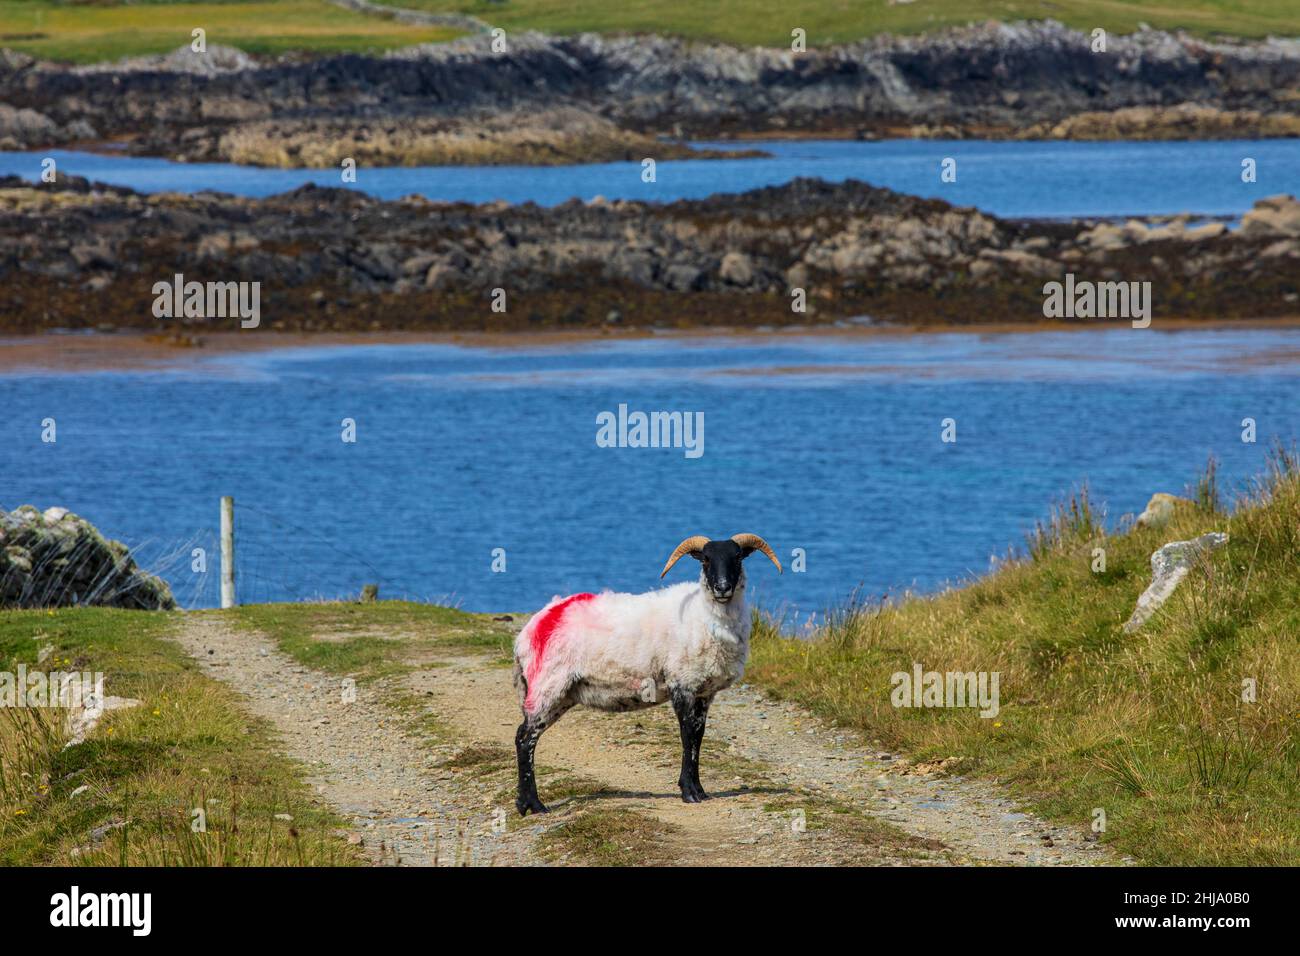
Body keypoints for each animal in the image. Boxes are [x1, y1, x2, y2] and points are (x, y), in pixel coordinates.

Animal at [512, 530, 780, 816]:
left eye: (738, 557)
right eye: (705, 559)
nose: (722, 588)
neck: (703, 615)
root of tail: (531, 629)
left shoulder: (703, 693)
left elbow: (698, 737)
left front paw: (699, 791)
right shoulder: (682, 683)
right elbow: (687, 736)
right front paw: (689, 792)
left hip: (562, 694)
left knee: (526, 736)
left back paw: (525, 803)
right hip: (547, 685)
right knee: (524, 738)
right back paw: (533, 804)